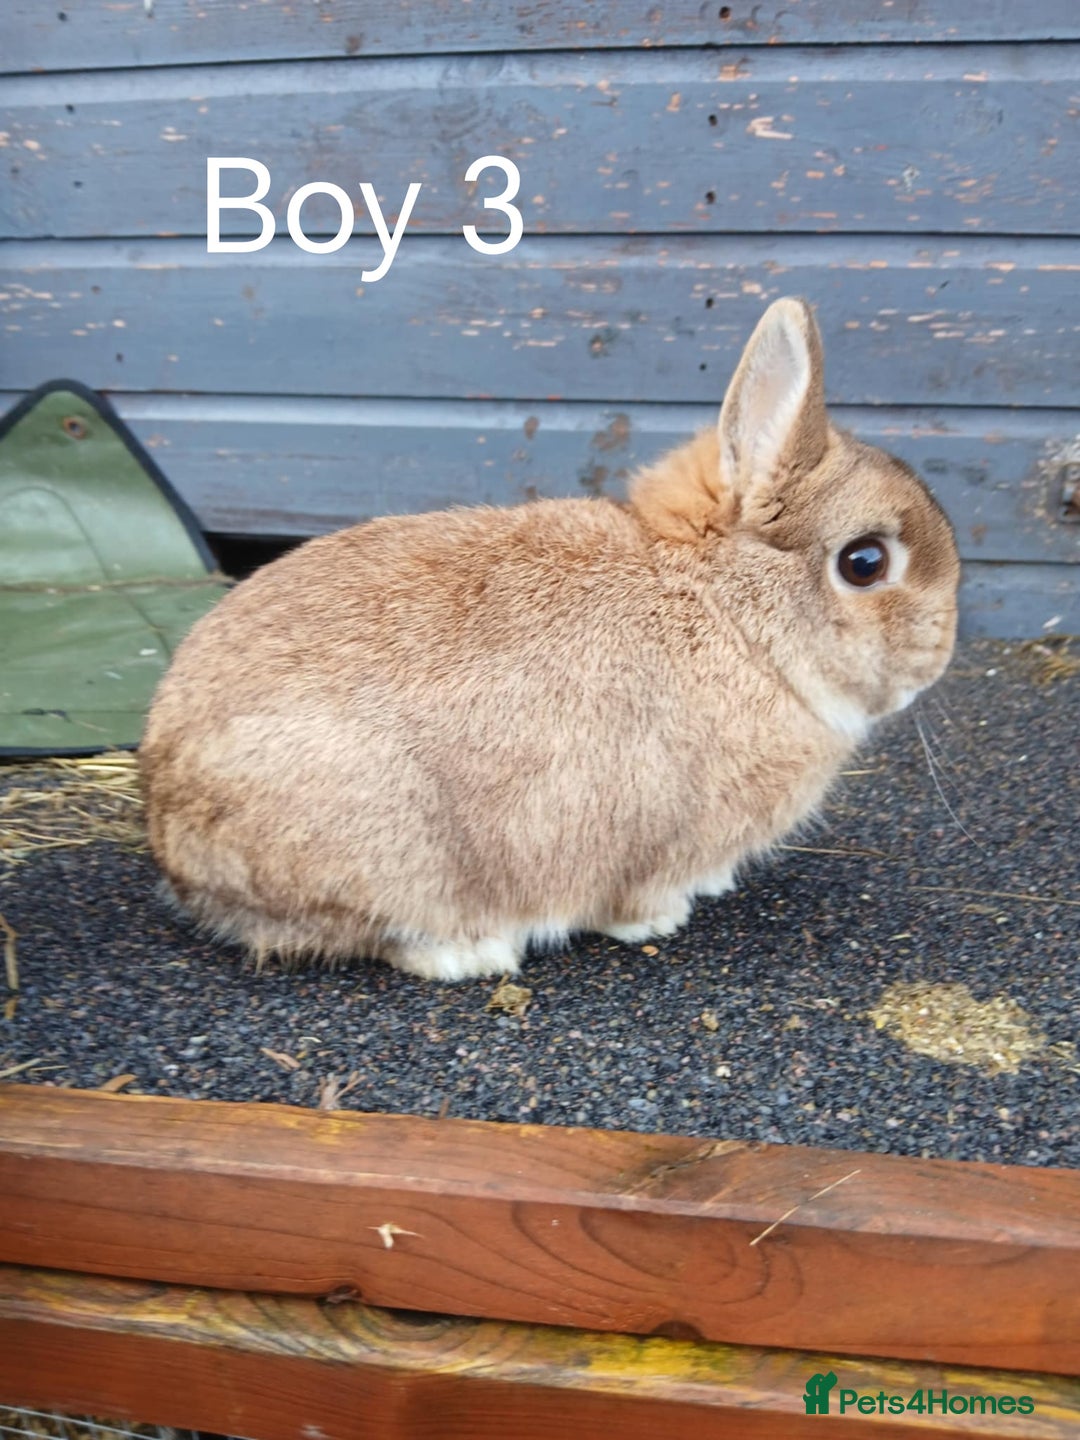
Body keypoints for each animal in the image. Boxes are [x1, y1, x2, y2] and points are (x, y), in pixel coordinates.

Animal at [139, 297, 960, 981]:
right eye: (864, 563)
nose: (940, 655)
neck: (725, 609)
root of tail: (172, 832)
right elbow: (634, 893)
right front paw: (658, 920)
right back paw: (474, 954)